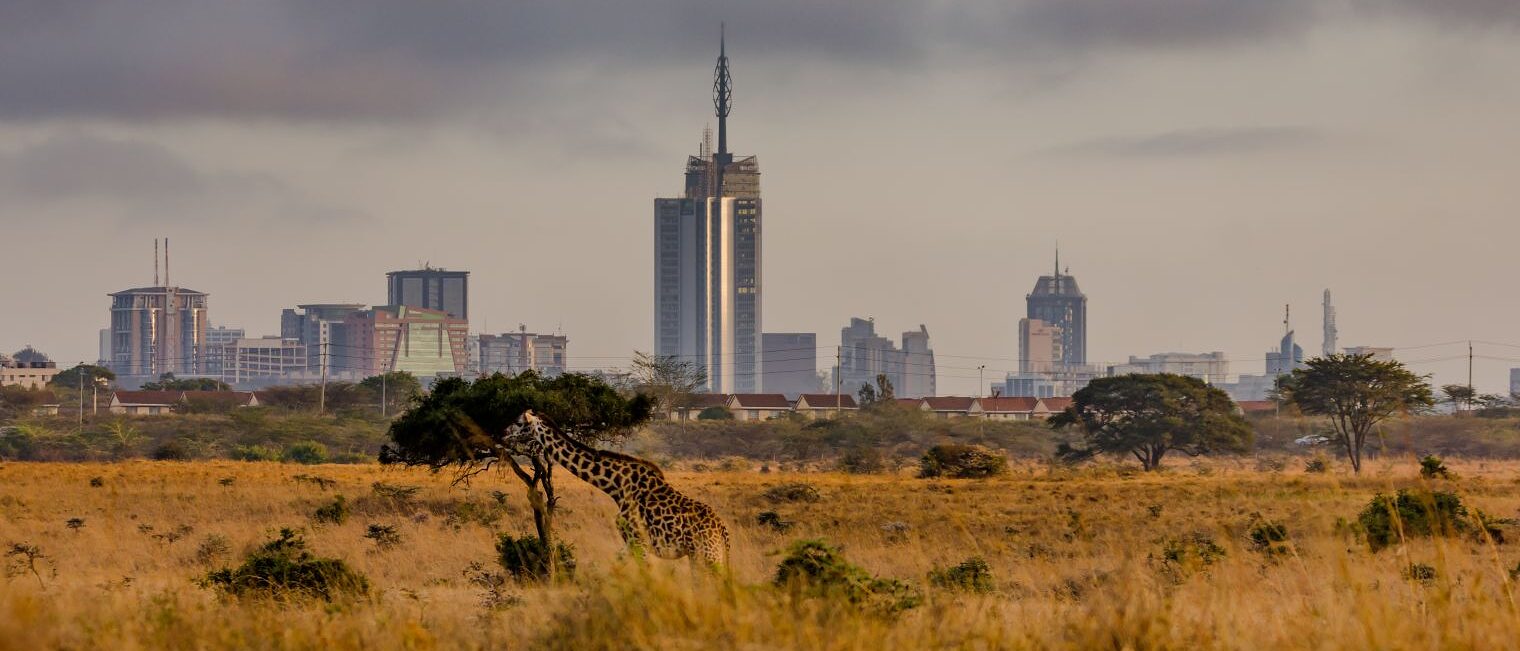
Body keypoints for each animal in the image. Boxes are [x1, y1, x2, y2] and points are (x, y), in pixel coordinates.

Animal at [503, 410, 730, 569]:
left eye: (519, 423)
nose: (502, 433)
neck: (616, 486)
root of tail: (722, 529)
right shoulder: (629, 543)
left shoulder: (639, 542)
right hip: (702, 556)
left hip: (707, 555)